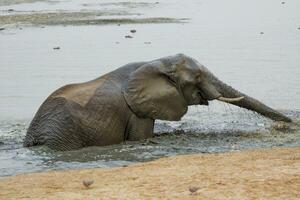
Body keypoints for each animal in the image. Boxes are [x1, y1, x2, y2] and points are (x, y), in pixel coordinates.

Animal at [22, 54, 290, 151]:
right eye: (198, 77)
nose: (290, 124)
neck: (156, 62)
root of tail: (32, 134)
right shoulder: (136, 112)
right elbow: (141, 138)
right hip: (64, 134)